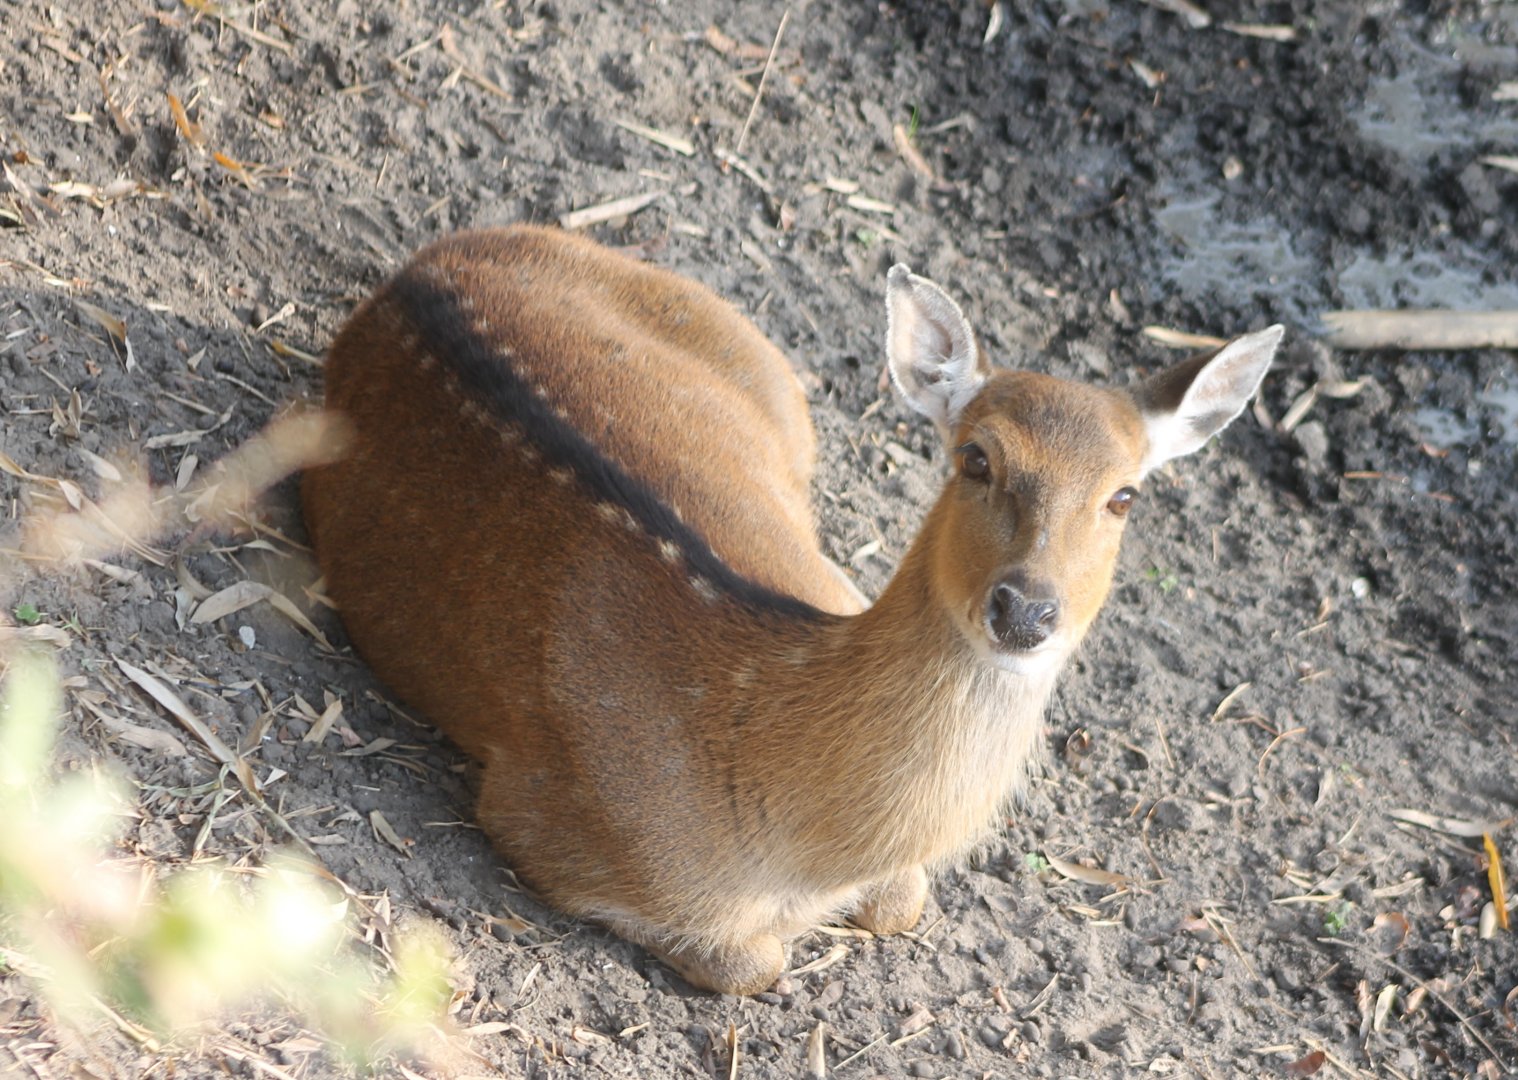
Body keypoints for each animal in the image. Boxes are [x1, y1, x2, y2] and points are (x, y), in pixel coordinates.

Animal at [302, 225, 1282, 996]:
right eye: (976, 457)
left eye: (1124, 495)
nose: (1026, 611)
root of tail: (419, 266)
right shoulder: (550, 819)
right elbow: (758, 962)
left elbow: (902, 903)